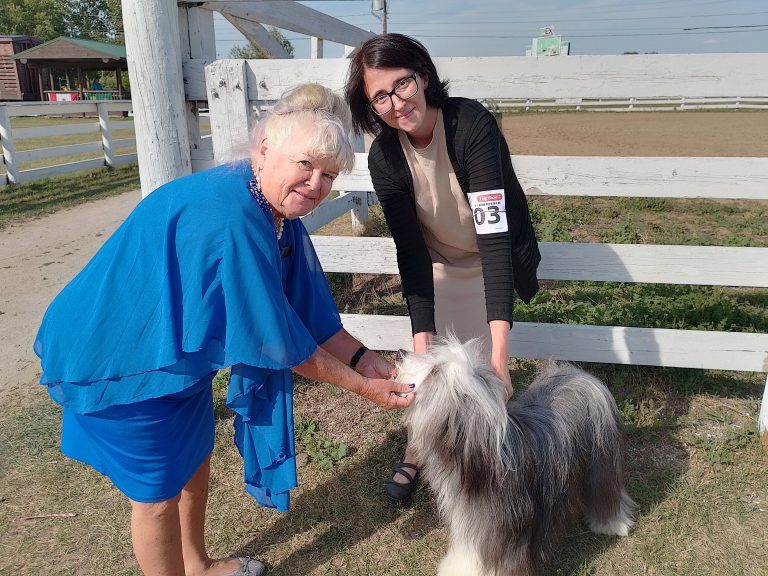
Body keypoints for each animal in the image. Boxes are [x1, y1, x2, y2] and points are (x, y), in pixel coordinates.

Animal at [396, 336, 636, 572]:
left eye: (435, 371)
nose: (400, 352)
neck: (482, 459)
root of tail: (579, 375)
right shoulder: (468, 516)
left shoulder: (506, 526)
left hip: (601, 463)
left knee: (605, 492)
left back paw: (612, 524)